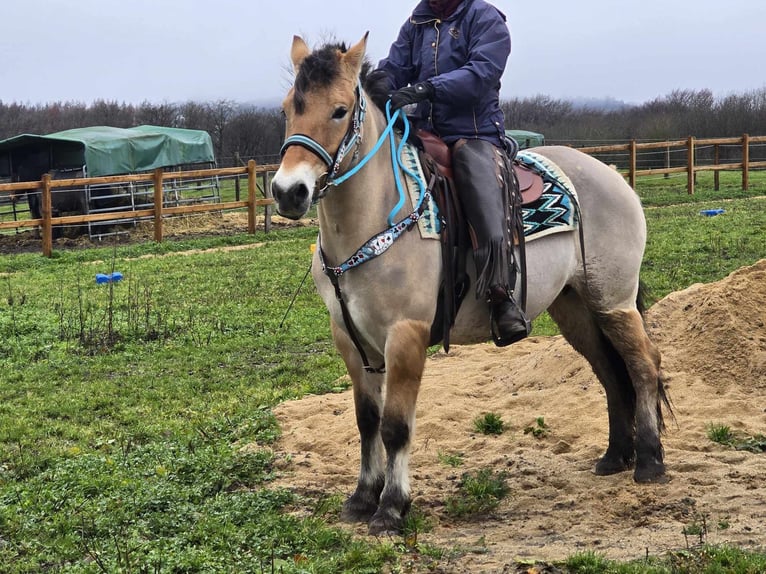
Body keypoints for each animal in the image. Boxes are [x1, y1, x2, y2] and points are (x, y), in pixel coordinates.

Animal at [272, 35, 668, 540]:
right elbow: (366, 421)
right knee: (609, 373)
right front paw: (362, 497)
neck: (374, 219)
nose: (289, 192)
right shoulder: (351, 337)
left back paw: (649, 462)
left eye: (340, 110)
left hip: (614, 302)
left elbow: (396, 426)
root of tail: (614, 177)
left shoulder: (406, 335)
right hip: (575, 308)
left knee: (643, 367)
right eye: (288, 108)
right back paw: (615, 456)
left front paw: (392, 507)